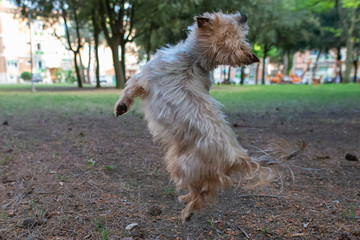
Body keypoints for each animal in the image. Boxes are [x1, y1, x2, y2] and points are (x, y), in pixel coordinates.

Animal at [115, 11, 272, 221]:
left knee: (203, 194)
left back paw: (189, 211)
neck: (195, 59)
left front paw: (121, 106)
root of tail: (236, 156)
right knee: (204, 188)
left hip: (179, 163)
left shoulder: (143, 77)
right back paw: (186, 199)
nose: (244, 15)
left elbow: (129, 89)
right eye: (231, 21)